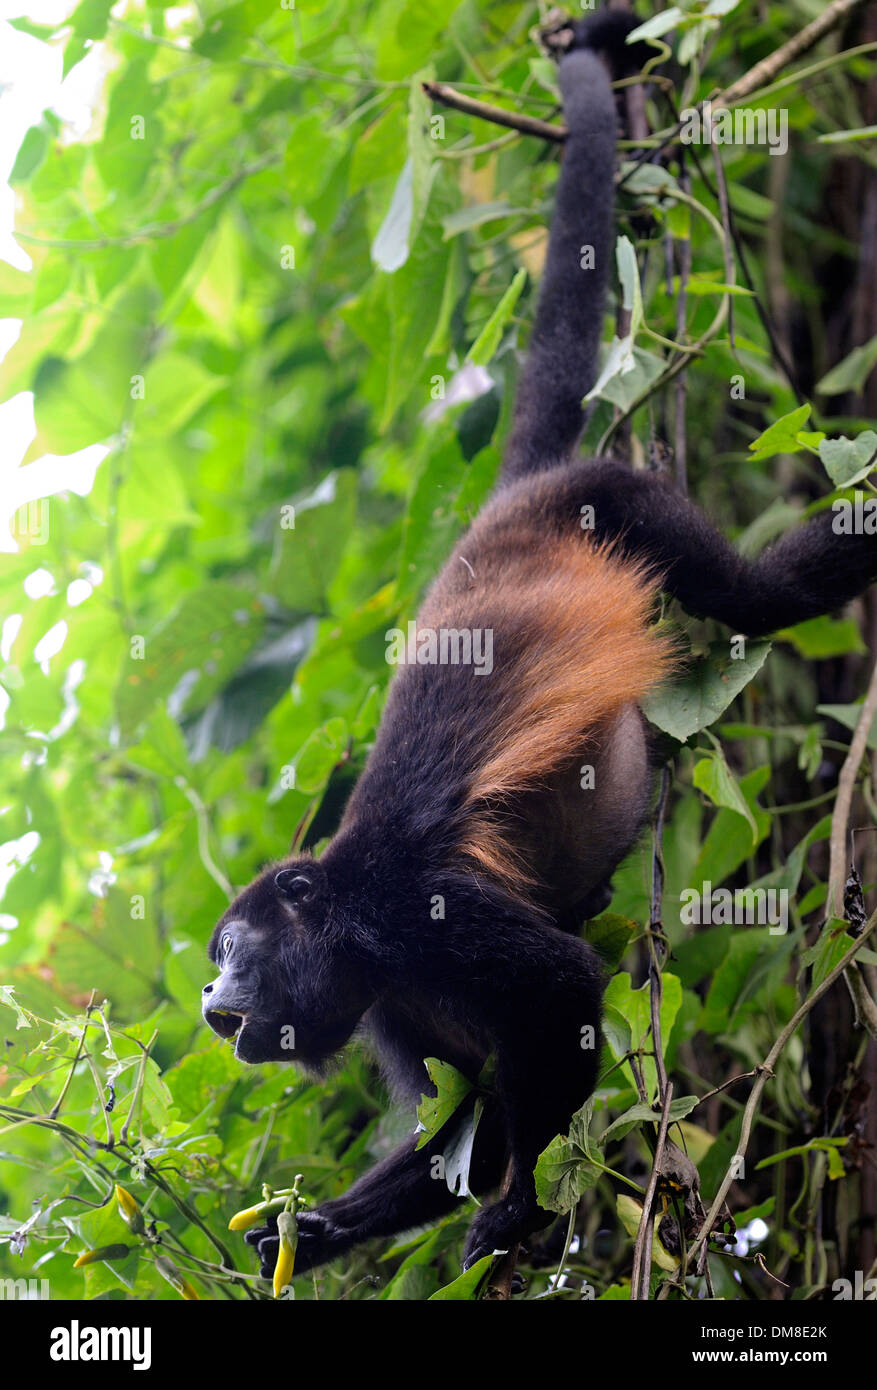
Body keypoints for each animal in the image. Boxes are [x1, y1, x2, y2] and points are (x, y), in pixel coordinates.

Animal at [202, 10, 877, 1279]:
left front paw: (519, 1208)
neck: (355, 943)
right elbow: (458, 1124)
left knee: (761, 595)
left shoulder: (412, 907)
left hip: (620, 499)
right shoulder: (387, 1003)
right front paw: (309, 1228)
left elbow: (563, 988)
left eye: (236, 947)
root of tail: (515, 504)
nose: (216, 1000)